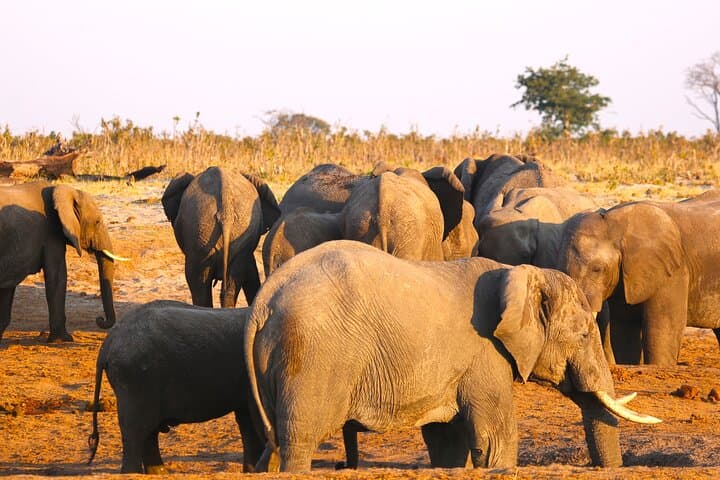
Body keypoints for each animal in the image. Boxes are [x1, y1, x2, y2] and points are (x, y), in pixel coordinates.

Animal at [0, 181, 125, 342]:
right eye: (97, 222)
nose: (100, 319)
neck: (65, 190)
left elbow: (8, 288)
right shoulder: (50, 233)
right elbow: (58, 277)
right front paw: (63, 339)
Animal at [86, 300, 264, 474]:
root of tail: (108, 342)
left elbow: (247, 419)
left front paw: (252, 471)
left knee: (147, 432)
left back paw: (159, 473)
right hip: (134, 378)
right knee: (136, 430)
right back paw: (134, 473)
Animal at [245, 240, 660, 472]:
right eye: (584, 334)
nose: (609, 469)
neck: (517, 274)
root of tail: (263, 302)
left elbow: (448, 441)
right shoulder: (485, 352)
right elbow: (495, 438)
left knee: (271, 442)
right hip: (313, 358)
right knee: (298, 441)